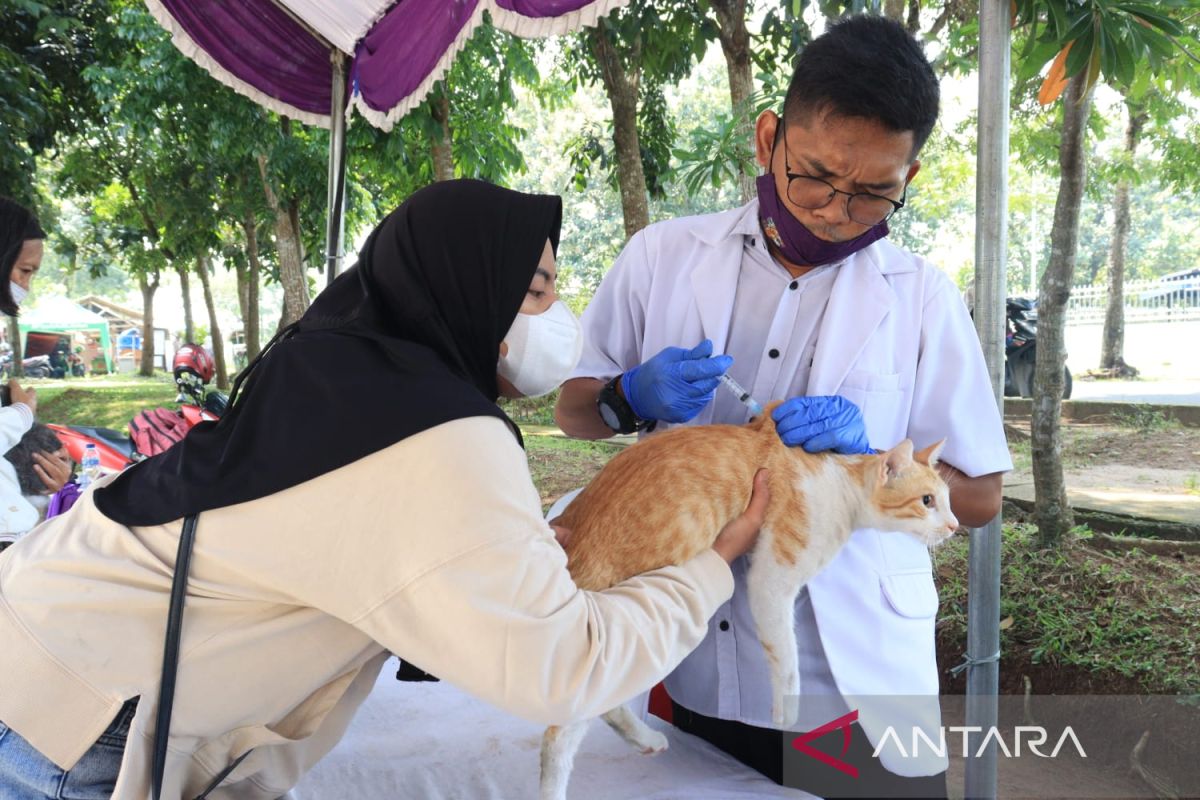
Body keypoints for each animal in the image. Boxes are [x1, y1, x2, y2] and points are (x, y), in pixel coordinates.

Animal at [542, 402, 955, 800]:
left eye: (949, 502)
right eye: (927, 501)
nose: (954, 526)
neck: (841, 484)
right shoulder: (772, 577)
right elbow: (787, 657)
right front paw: (786, 712)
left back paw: (646, 740)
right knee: (562, 729)